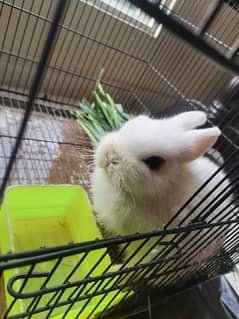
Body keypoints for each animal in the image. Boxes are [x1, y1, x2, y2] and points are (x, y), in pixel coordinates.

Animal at [92, 112, 235, 282]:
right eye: (135, 121)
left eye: (154, 161)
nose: (110, 154)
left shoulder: (145, 247)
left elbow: (134, 264)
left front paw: (117, 272)